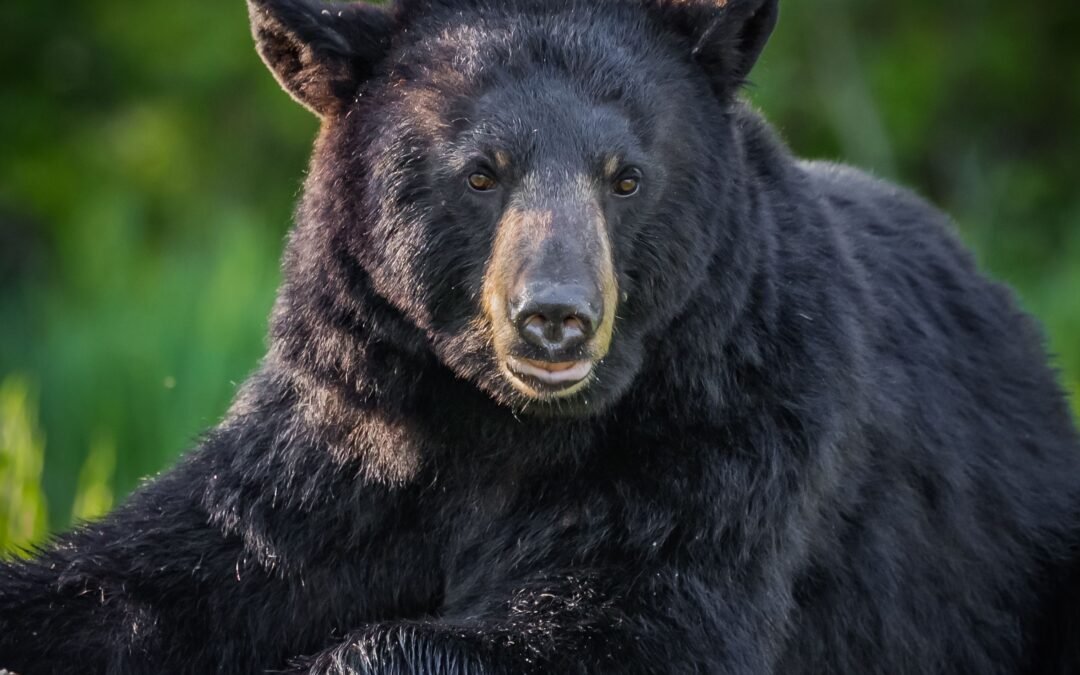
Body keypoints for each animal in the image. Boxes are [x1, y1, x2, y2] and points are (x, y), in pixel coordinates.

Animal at [2, 0, 1080, 672]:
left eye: (627, 175)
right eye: (481, 171)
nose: (556, 317)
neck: (498, 428)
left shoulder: (731, 439)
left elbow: (622, 626)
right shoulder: (340, 450)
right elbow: (155, 574)